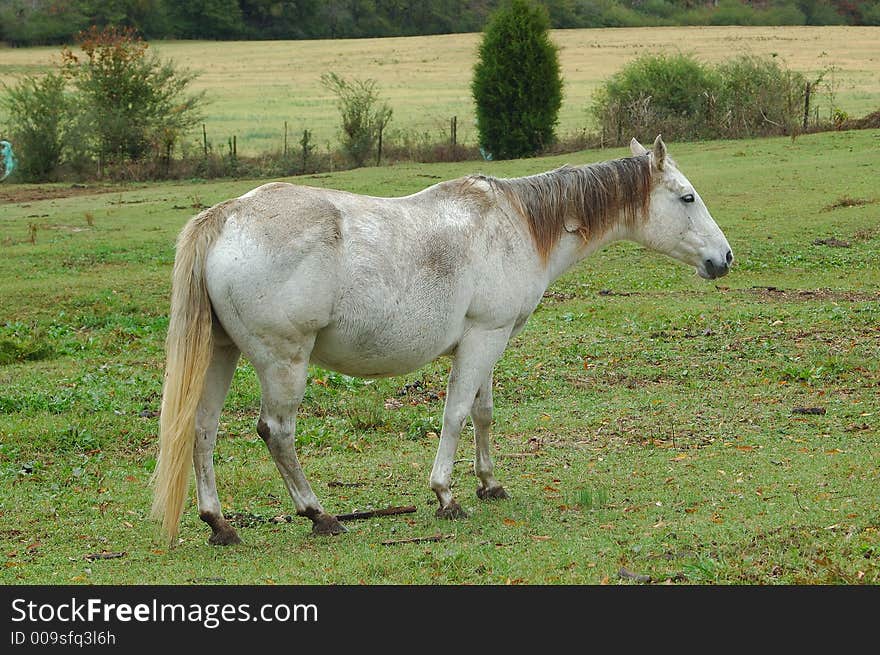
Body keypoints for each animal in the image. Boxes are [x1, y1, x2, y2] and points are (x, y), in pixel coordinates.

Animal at [153, 136, 736, 544]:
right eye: (687, 197)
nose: (724, 258)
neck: (518, 223)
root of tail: (224, 217)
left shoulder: (490, 340)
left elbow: (482, 413)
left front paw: (490, 484)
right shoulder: (483, 338)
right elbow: (455, 414)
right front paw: (446, 496)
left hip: (221, 356)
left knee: (201, 430)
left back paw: (220, 524)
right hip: (284, 363)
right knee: (276, 433)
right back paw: (319, 514)